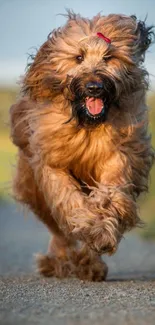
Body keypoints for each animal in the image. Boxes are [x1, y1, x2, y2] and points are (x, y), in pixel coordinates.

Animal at [9, 11, 154, 280]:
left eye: (109, 57)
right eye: (78, 57)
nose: (94, 87)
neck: (87, 125)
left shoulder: (119, 154)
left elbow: (110, 195)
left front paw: (101, 232)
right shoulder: (51, 162)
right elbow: (68, 198)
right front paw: (88, 225)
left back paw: (89, 263)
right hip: (33, 188)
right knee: (58, 228)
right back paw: (59, 261)